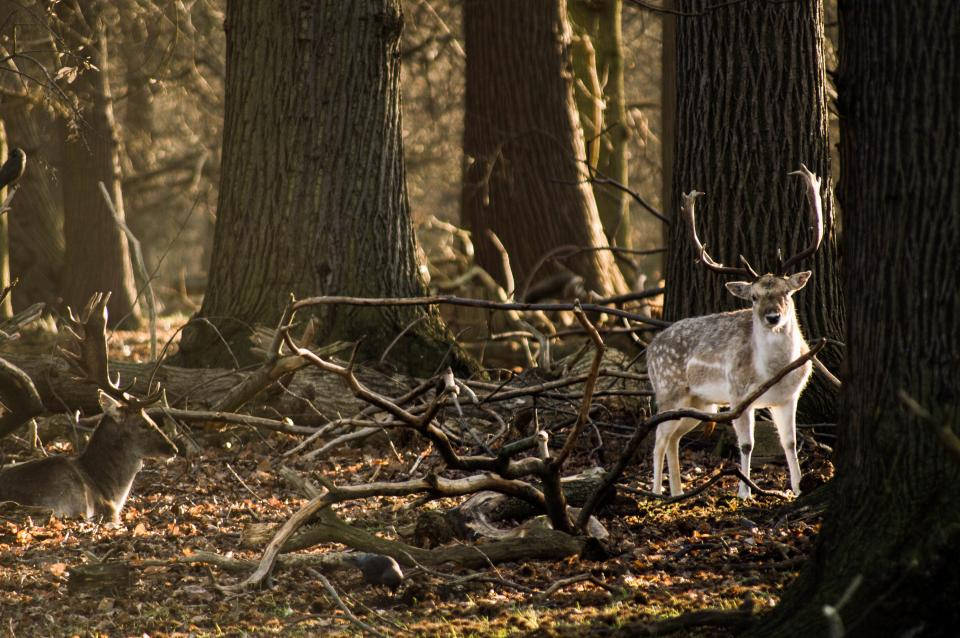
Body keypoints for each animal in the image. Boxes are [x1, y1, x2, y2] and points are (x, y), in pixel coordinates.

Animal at [644, 165, 824, 500]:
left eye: (786, 292)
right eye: (753, 297)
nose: (772, 316)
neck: (773, 371)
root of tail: (650, 348)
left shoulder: (788, 398)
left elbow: (790, 443)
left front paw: (797, 488)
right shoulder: (739, 395)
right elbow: (747, 444)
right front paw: (745, 492)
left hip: (702, 403)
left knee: (674, 438)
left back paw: (677, 491)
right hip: (669, 391)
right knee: (659, 437)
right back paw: (657, 491)